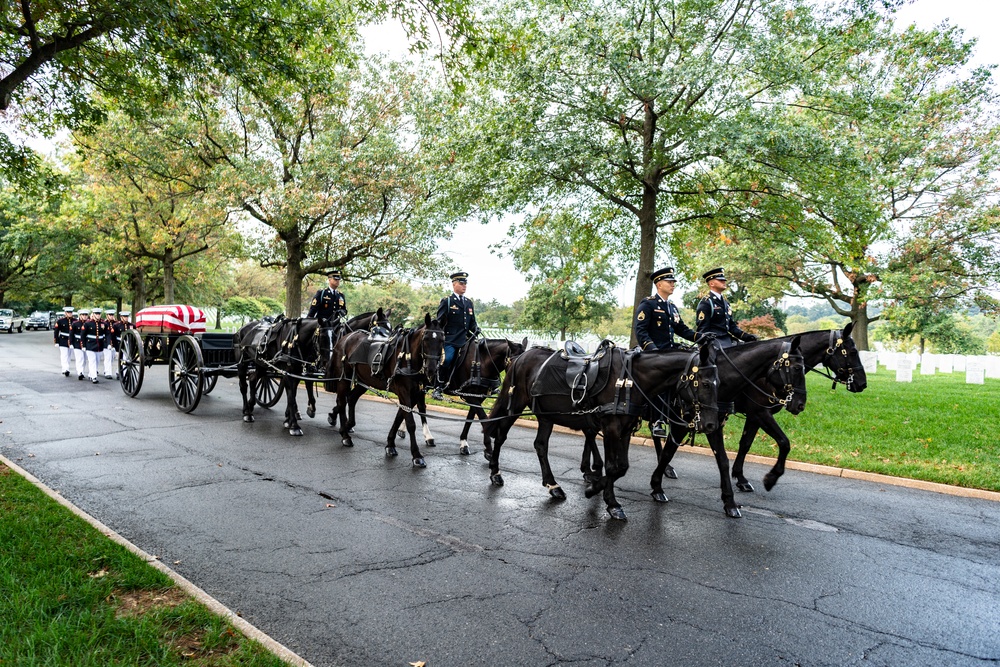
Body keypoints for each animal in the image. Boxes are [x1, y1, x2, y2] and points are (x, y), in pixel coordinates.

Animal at [330, 314, 444, 468]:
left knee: (351, 398)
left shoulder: (414, 394)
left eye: (442, 340)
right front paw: (417, 455)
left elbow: (399, 417)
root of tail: (345, 338)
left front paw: (390, 444)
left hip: (364, 381)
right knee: (342, 402)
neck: (407, 358)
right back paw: (345, 435)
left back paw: (348, 425)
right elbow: (410, 423)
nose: (431, 369)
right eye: (425, 339)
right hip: (344, 379)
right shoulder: (404, 392)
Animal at [484, 344, 720, 520]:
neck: (630, 380)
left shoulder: (625, 429)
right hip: (515, 405)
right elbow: (614, 467)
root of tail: (521, 357)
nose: (711, 425)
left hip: (546, 416)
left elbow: (621, 467)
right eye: (706, 384)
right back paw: (495, 472)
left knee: (541, 445)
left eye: (718, 383)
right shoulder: (611, 428)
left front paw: (598, 489)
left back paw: (553, 485)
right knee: (501, 435)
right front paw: (606, 499)